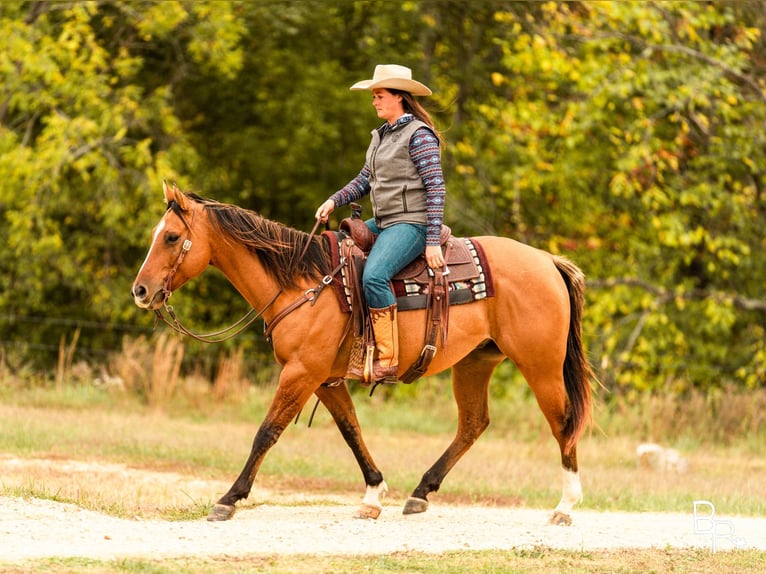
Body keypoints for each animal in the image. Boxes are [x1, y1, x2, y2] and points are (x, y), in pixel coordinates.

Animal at [132, 182, 596, 528]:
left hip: (540, 365)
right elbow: (350, 429)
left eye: (171, 237)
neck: (303, 283)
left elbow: (267, 432)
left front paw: (229, 498)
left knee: (562, 422)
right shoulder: (324, 378)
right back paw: (420, 493)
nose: (140, 290)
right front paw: (373, 494)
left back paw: (565, 506)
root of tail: (547, 261)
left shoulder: (301, 373)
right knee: (473, 424)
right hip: (475, 362)